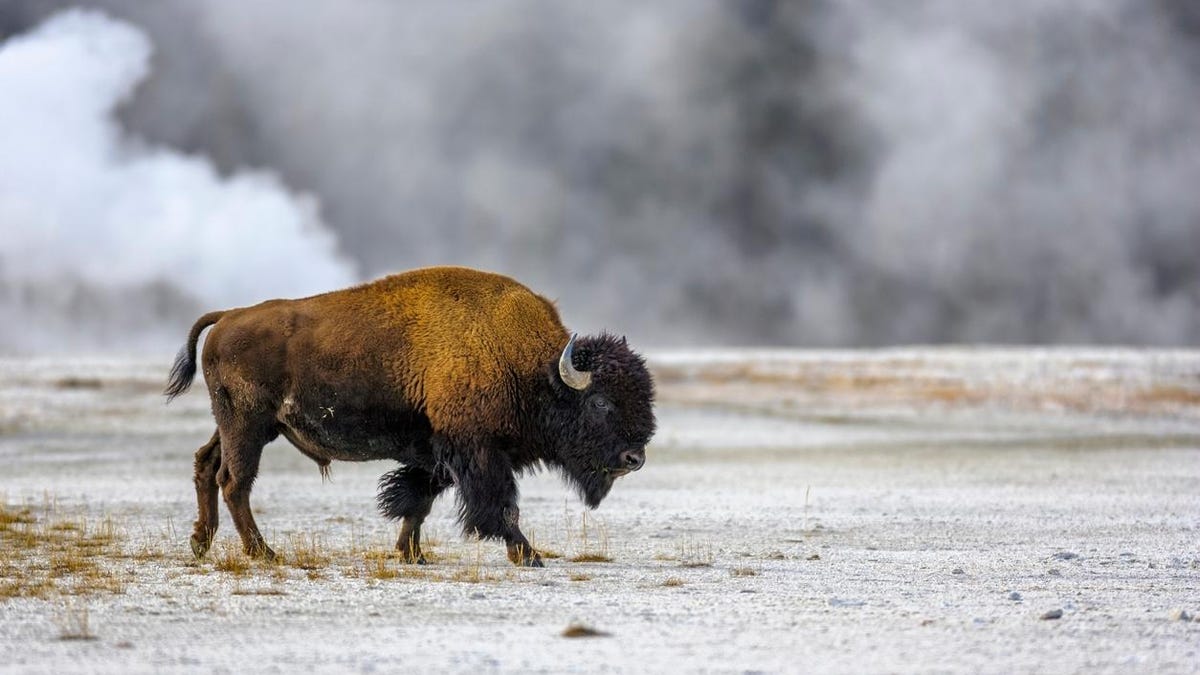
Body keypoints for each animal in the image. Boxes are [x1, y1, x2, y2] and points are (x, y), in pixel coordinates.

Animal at [164, 266, 655, 566]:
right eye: (600, 402)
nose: (635, 459)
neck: (529, 367)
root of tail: (228, 316)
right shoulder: (476, 453)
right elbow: (502, 508)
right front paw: (528, 555)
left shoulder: (435, 453)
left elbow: (417, 502)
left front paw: (412, 554)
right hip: (247, 426)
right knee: (235, 481)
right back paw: (263, 553)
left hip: (241, 426)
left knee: (207, 465)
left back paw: (201, 543)